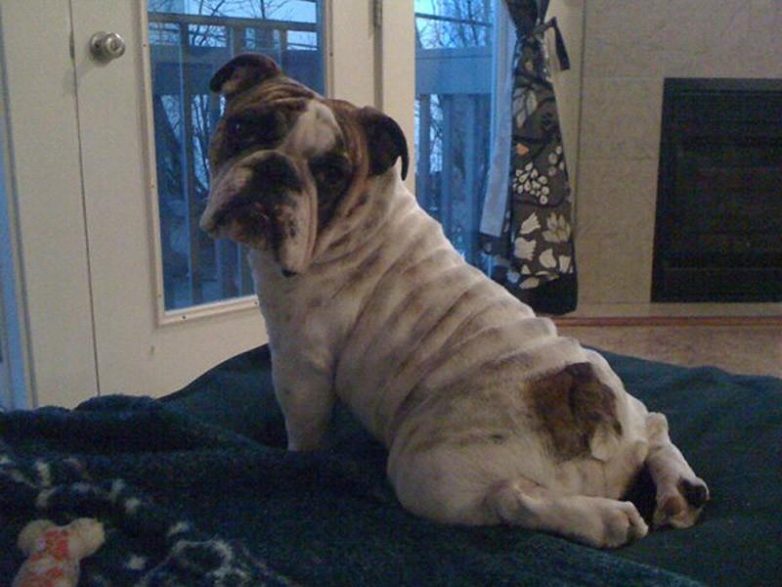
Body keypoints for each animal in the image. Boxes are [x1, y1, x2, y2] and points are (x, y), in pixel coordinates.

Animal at [200, 54, 709, 548]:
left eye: (330, 174)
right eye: (244, 127)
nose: (276, 169)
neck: (359, 218)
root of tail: (590, 406)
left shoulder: (300, 365)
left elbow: (303, 435)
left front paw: (295, 463)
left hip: (427, 471)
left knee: (511, 499)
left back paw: (606, 520)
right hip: (617, 394)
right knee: (656, 425)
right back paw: (679, 492)